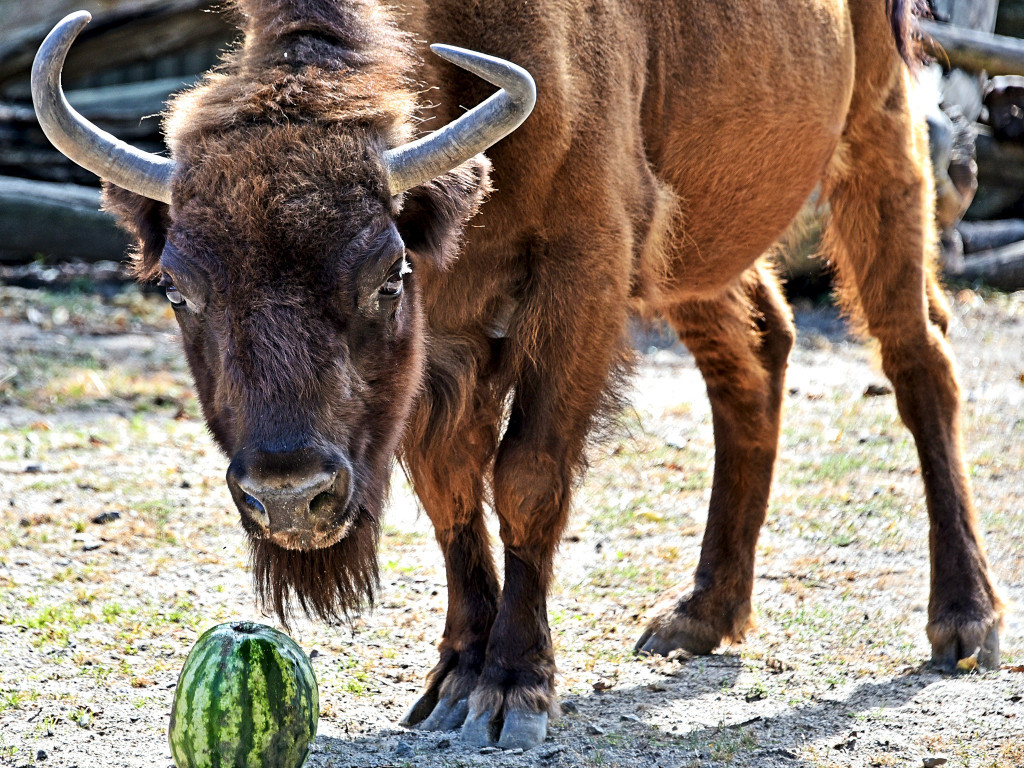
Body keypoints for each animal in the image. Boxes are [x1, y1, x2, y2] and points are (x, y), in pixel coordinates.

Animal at [29, 0, 999, 753]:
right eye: (177, 290)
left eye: (385, 275)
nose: (288, 497)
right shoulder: (448, 331)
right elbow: (450, 488)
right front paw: (454, 679)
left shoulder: (583, 272)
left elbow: (526, 477)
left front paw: (512, 692)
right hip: (697, 243)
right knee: (755, 352)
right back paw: (698, 615)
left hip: (878, 140)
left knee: (919, 359)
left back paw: (963, 623)